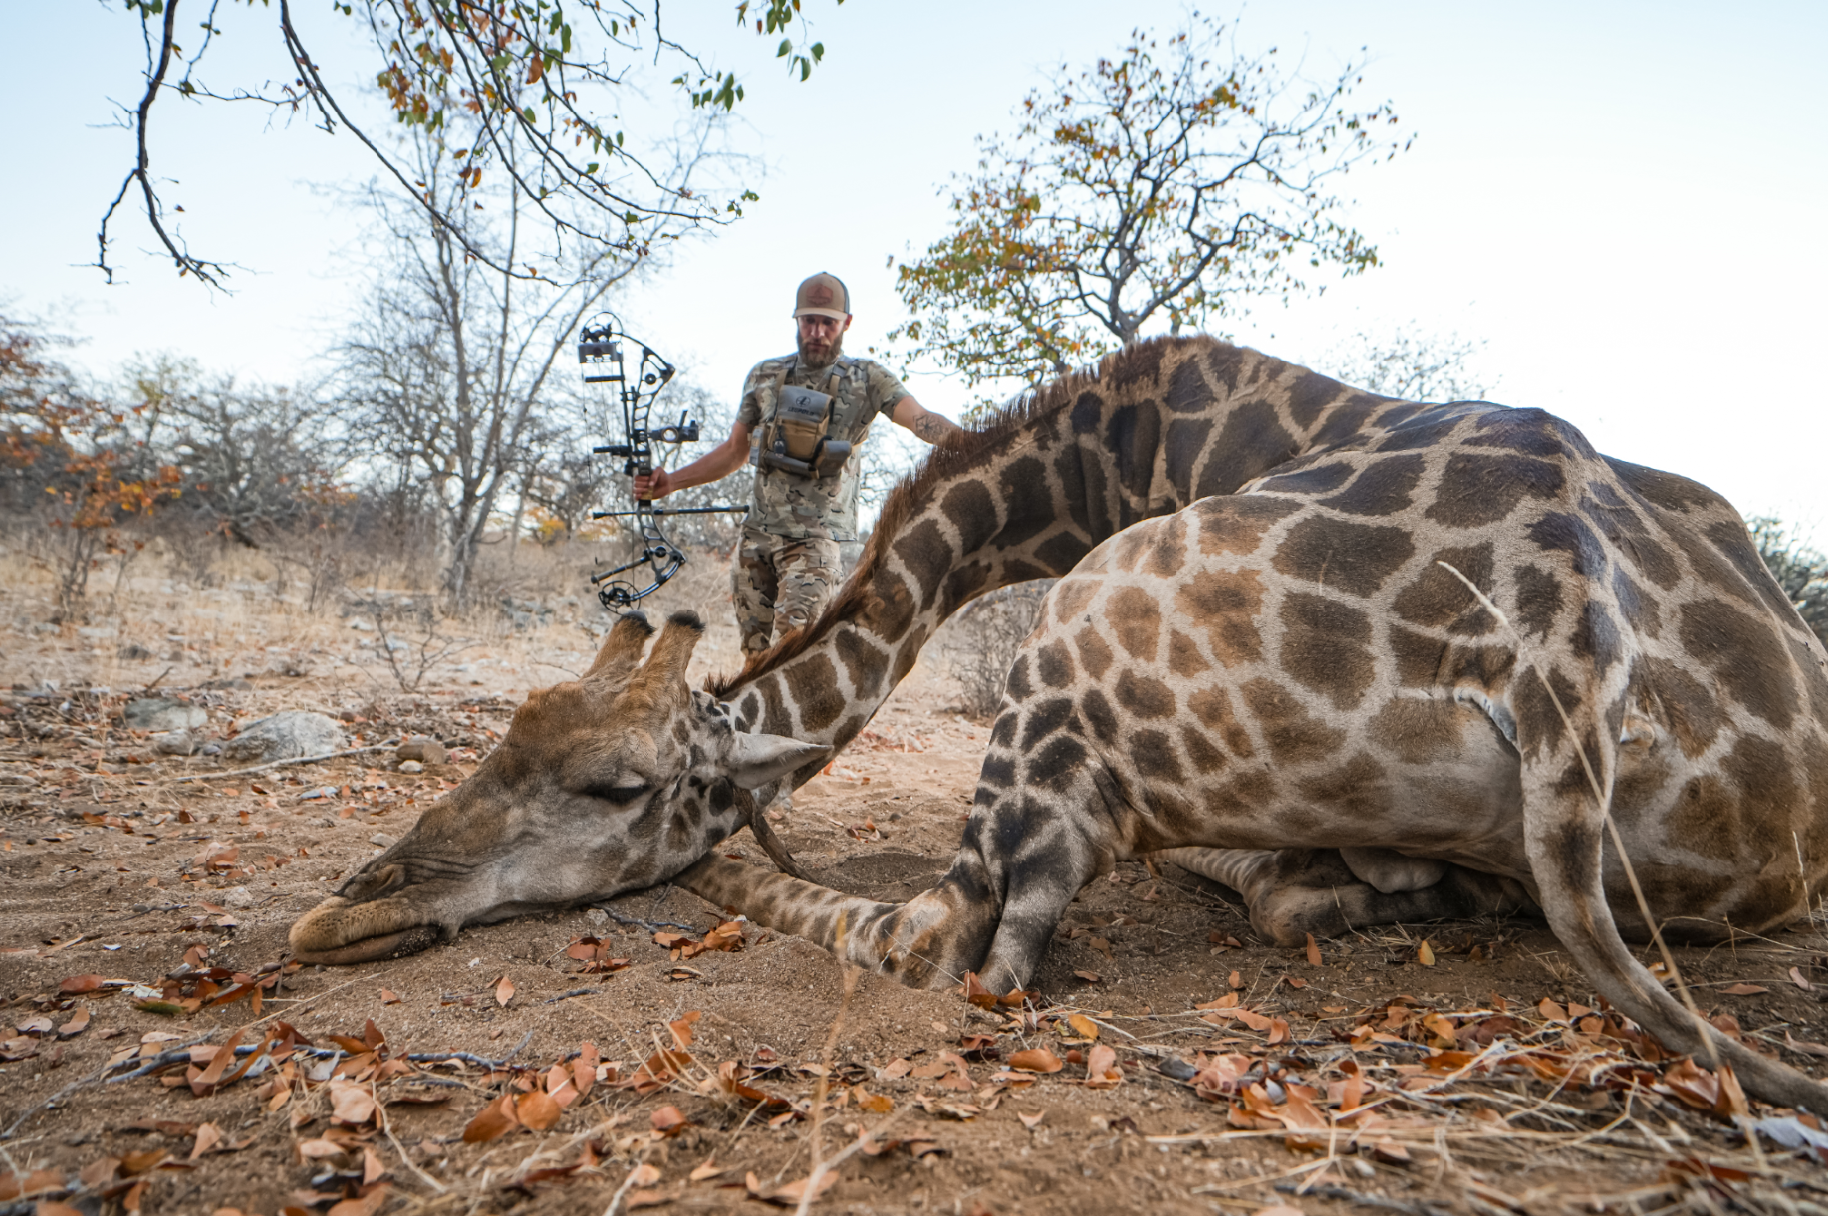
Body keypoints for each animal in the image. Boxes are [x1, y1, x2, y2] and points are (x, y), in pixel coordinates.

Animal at [289, 337, 1828, 1107]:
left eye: (615, 787)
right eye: (505, 735)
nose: (338, 912)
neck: (1114, 457)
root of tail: (1567, 629)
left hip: (1069, 651)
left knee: (945, 936)